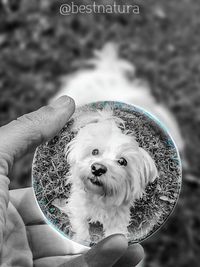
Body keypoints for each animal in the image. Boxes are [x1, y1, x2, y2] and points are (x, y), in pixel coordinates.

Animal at [65, 108, 158, 244]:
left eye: (122, 161)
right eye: (95, 151)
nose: (97, 168)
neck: (98, 196)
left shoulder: (118, 219)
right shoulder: (78, 207)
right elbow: (81, 226)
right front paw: (81, 240)